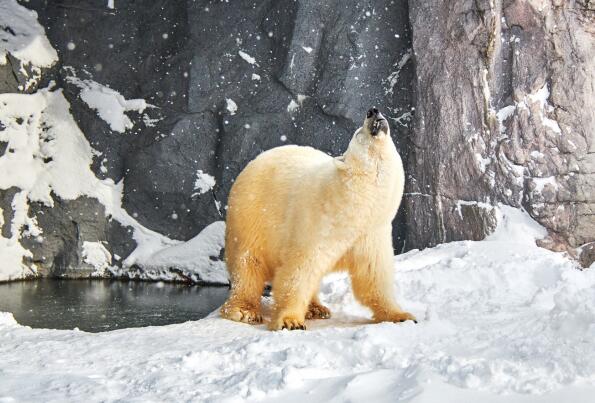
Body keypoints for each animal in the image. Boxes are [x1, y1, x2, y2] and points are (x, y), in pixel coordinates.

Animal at [219, 108, 414, 332]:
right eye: (358, 134)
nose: (372, 111)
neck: (353, 211)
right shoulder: (317, 223)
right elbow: (299, 269)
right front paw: (290, 321)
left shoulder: (370, 233)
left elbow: (373, 275)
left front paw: (401, 315)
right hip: (251, 217)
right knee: (248, 263)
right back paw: (244, 310)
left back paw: (316, 308)